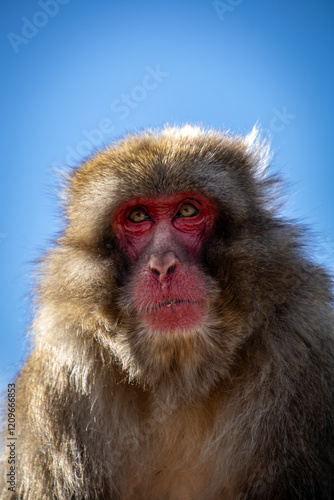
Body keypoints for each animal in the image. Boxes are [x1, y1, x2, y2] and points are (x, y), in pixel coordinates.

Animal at [0, 126, 334, 500]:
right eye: (138, 216)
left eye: (187, 210)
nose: (162, 266)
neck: (178, 377)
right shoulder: (62, 380)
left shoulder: (302, 345)